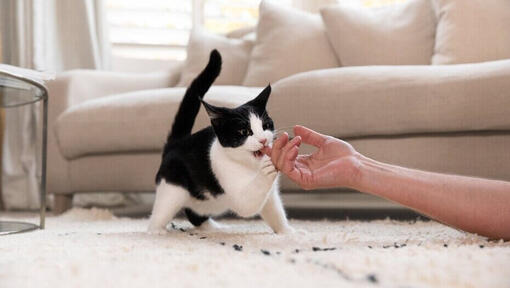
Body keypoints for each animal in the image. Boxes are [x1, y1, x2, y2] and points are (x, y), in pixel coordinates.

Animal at [146, 49, 294, 234]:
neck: (251, 167)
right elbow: (247, 203)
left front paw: (287, 232)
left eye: (266, 125)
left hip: (203, 200)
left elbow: (276, 212)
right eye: (244, 132)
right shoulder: (228, 179)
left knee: (194, 213)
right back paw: (156, 231)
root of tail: (177, 142)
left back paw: (212, 228)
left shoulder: (271, 196)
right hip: (173, 187)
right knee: (161, 212)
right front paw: (267, 168)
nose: (262, 139)